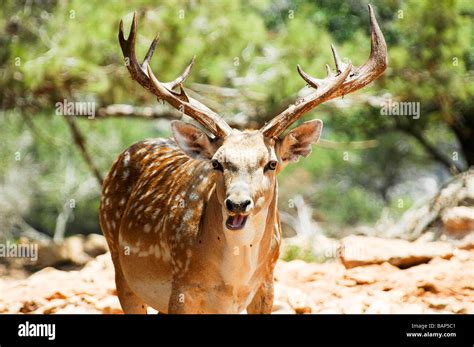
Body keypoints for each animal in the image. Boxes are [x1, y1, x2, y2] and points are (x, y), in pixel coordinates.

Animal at [99, 4, 386, 316]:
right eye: (217, 163)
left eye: (271, 163)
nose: (237, 203)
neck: (233, 281)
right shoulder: (181, 288)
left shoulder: (267, 284)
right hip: (120, 264)